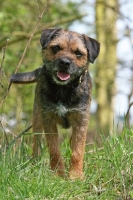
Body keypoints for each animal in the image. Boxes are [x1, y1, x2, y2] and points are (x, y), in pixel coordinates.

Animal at [10, 28, 100, 180]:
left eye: (78, 53)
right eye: (56, 48)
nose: (65, 62)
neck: (64, 89)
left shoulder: (81, 121)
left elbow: (77, 150)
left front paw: (75, 175)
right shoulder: (49, 120)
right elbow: (54, 150)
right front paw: (58, 175)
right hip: (37, 119)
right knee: (36, 145)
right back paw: (34, 165)